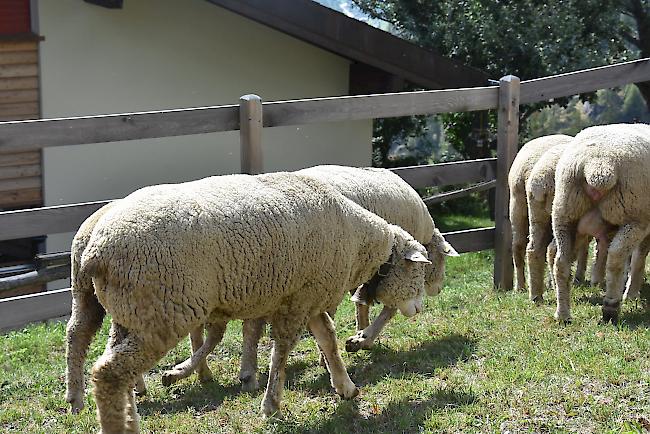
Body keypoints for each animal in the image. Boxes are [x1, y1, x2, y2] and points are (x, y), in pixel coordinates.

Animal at [72, 170, 430, 430]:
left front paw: (346, 386)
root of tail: (96, 249)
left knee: (108, 359)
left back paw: (127, 413)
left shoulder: (306, 293)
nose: (419, 309)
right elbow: (282, 350)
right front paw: (271, 404)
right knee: (108, 373)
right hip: (162, 311)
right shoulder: (299, 300)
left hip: (129, 310)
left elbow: (327, 339)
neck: (360, 245)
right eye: (417, 274)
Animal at [548, 122, 648, 322]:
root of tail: (599, 165)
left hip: (564, 212)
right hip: (634, 215)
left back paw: (563, 314)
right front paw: (632, 294)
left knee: (561, 261)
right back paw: (611, 306)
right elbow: (639, 259)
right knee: (616, 256)